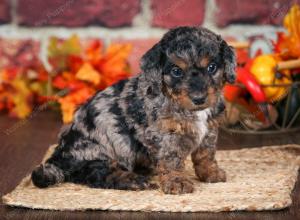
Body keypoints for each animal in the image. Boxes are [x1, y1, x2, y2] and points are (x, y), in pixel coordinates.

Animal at [31, 26, 236, 194]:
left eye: (212, 67)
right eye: (176, 71)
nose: (199, 98)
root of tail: (58, 154)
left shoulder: (210, 129)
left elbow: (206, 154)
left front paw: (210, 173)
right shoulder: (164, 135)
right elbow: (171, 159)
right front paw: (177, 181)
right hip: (94, 150)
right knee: (95, 173)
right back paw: (133, 180)